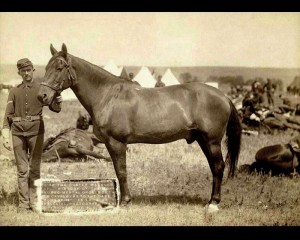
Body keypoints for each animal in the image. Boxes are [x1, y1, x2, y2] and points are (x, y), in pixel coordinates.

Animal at [38, 43, 243, 212]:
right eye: (46, 67)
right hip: (203, 140)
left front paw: (125, 202)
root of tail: (224, 96)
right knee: (214, 167)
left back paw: (213, 204)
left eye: (59, 67)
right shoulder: (110, 144)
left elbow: (122, 171)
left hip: (212, 141)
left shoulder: (117, 143)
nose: (42, 96)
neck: (107, 95)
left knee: (218, 166)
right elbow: (117, 170)